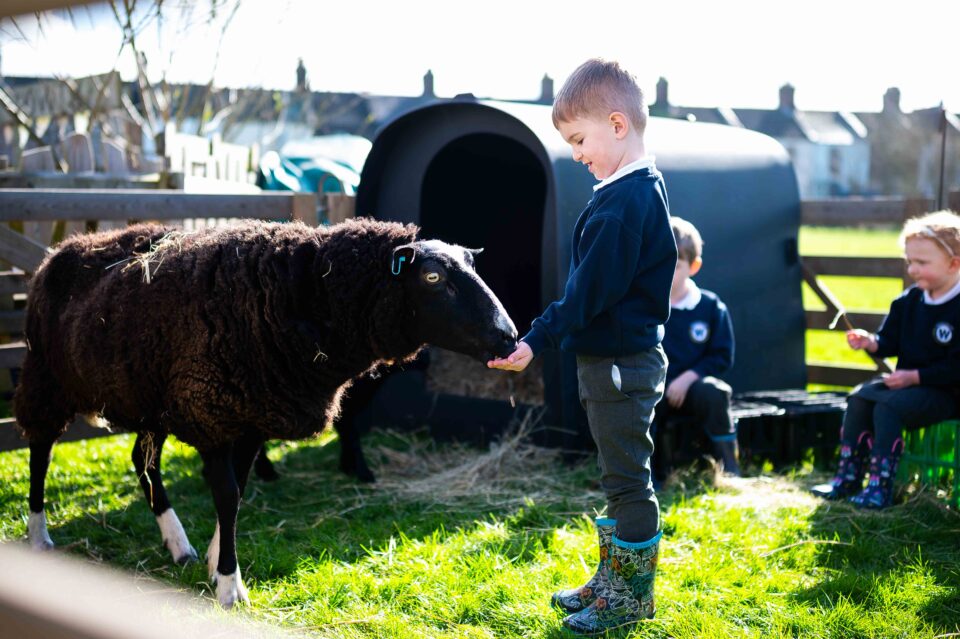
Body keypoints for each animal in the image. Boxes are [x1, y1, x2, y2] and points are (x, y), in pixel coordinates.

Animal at [15, 218, 516, 608]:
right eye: (432, 278)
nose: (509, 336)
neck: (308, 294)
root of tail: (63, 248)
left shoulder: (251, 416)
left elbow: (239, 493)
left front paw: (214, 562)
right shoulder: (212, 412)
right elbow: (228, 496)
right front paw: (230, 586)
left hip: (149, 398)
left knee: (143, 463)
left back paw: (178, 545)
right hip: (47, 378)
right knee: (40, 452)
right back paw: (38, 536)